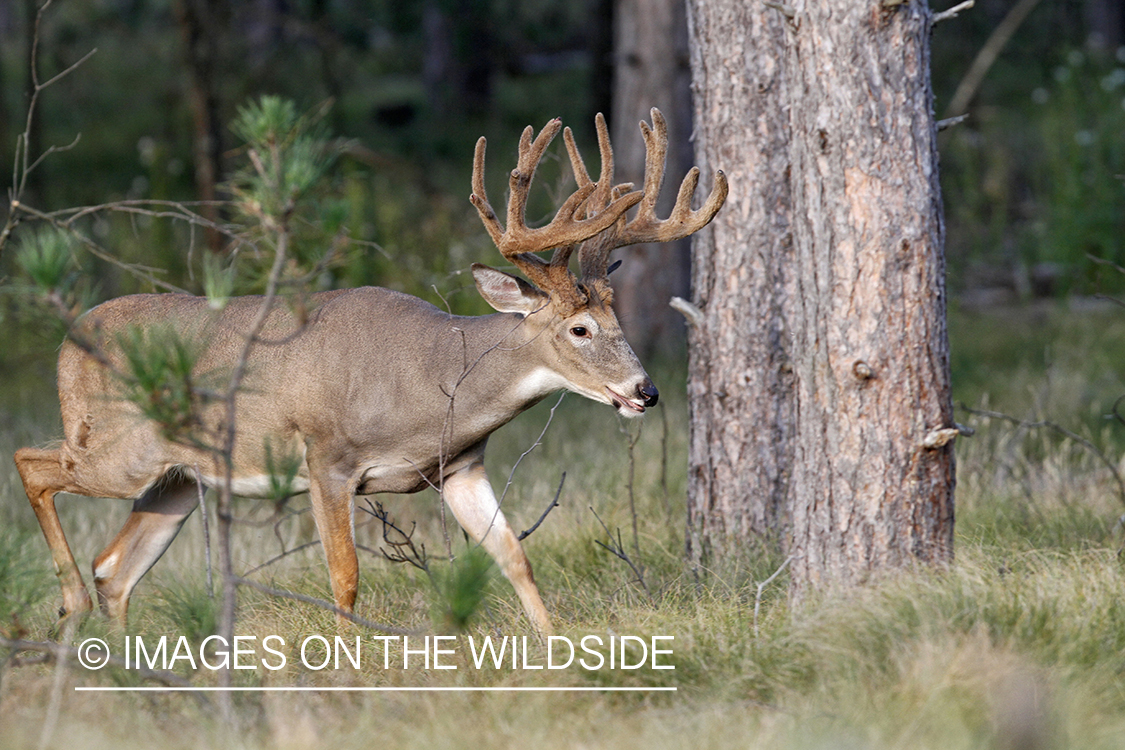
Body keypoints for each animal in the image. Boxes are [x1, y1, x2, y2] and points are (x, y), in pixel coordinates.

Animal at [13, 106, 724, 634]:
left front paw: (554, 647)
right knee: (33, 463)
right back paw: (70, 606)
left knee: (115, 566)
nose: (645, 391)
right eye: (579, 329)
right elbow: (345, 576)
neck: (430, 383)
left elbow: (515, 556)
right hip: (119, 448)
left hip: (179, 477)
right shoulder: (327, 457)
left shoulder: (460, 466)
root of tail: (68, 343)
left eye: (617, 316)